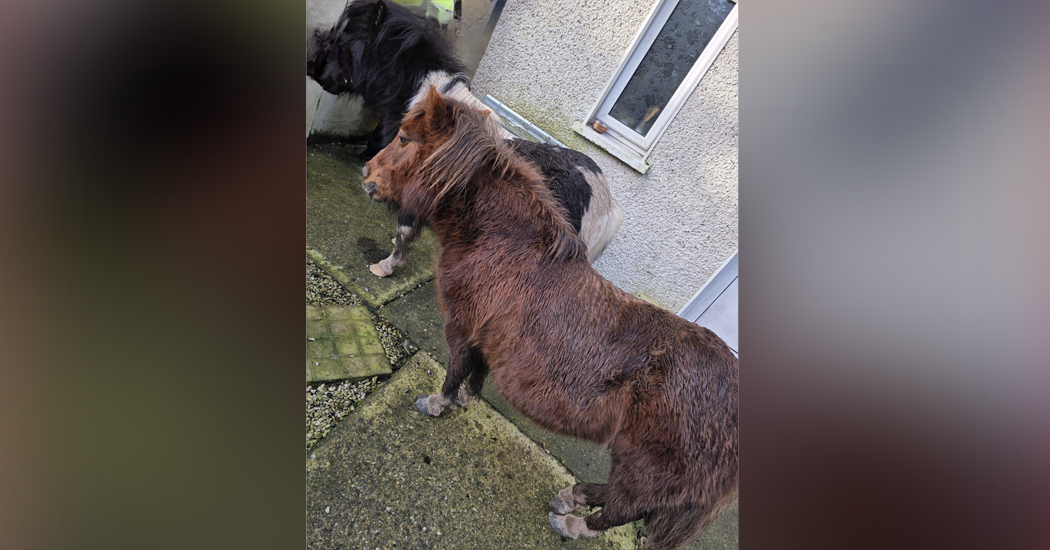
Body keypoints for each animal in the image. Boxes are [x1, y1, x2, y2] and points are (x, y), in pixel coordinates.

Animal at [361, 86, 739, 550]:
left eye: (403, 138)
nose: (366, 174)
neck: (506, 246)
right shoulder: (489, 337)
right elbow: (477, 373)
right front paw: (468, 399)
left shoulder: (463, 329)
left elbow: (454, 372)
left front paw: (436, 404)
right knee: (620, 499)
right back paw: (569, 497)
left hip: (648, 468)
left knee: (624, 509)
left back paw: (571, 522)